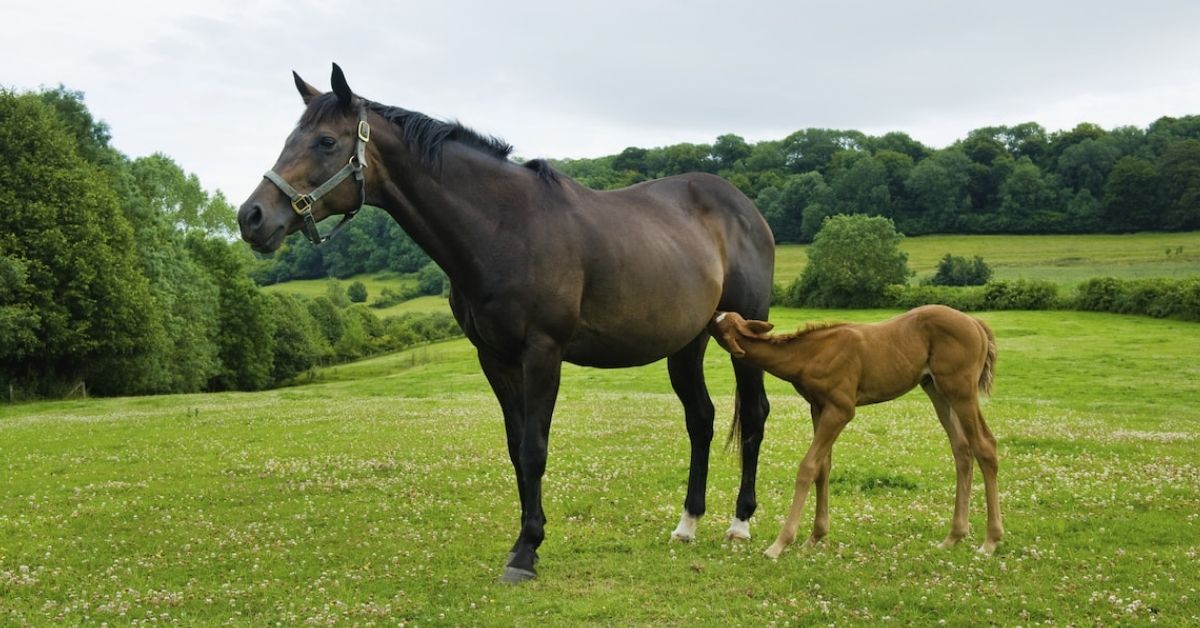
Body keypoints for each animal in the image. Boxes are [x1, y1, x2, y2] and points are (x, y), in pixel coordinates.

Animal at [237, 66, 772, 583]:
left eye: (327, 141)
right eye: (291, 137)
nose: (251, 217)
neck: (504, 227)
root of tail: (744, 207)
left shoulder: (543, 352)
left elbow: (535, 449)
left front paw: (526, 553)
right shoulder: (495, 357)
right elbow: (517, 450)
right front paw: (525, 540)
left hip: (747, 331)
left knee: (754, 414)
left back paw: (740, 523)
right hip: (687, 343)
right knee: (700, 419)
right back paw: (688, 523)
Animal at [705, 307, 998, 557]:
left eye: (719, 324)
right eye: (723, 316)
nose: (714, 310)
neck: (809, 354)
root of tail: (976, 324)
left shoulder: (841, 409)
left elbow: (808, 466)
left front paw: (780, 543)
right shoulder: (818, 407)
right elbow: (823, 467)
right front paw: (814, 537)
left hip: (960, 390)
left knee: (985, 445)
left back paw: (990, 541)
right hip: (935, 389)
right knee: (962, 449)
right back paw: (954, 537)